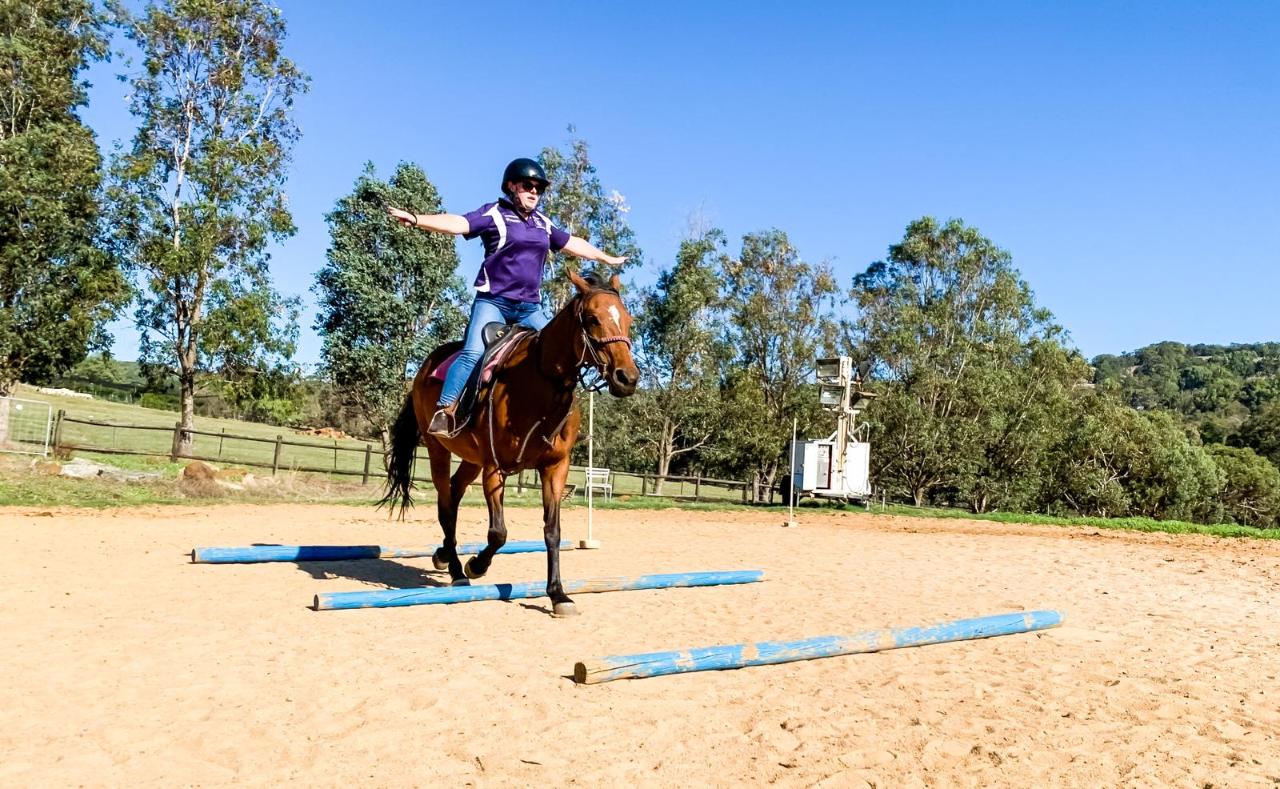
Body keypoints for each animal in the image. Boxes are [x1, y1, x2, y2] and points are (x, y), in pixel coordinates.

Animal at [378, 270, 640, 617]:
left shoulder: (555, 467)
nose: (627, 378)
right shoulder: (495, 467)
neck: (538, 384)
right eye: (593, 319)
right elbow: (498, 533)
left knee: (455, 494)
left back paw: (444, 555)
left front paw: (558, 595)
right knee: (446, 506)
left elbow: (552, 532)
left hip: (471, 459)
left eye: (628, 320)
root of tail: (426, 366)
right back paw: (458, 570)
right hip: (438, 449)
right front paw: (477, 565)